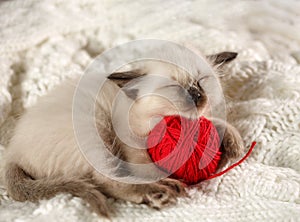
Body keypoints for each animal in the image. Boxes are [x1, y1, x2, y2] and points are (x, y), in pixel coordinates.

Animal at [2, 43, 244, 217]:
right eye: (174, 87)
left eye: (201, 82)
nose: (195, 95)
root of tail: (13, 153)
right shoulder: (131, 142)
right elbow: (147, 168)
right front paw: (170, 182)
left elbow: (216, 121)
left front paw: (234, 145)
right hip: (96, 130)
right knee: (106, 181)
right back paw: (158, 193)